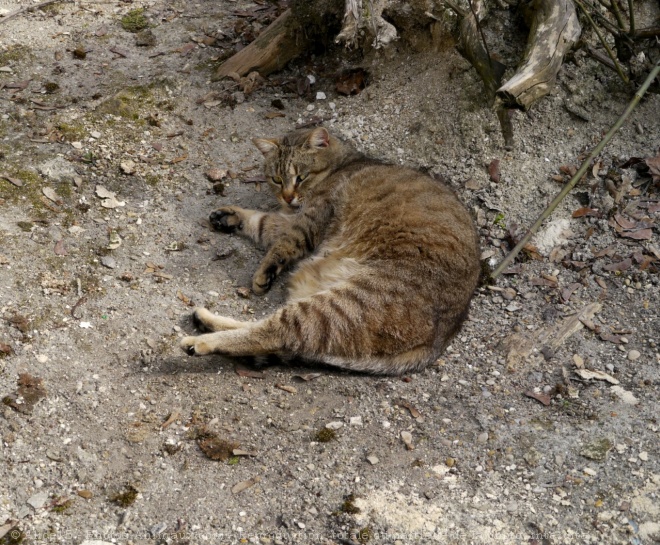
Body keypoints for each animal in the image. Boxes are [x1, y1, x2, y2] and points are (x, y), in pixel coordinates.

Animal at [180, 127, 480, 374]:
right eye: (276, 179)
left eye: (300, 177)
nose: (287, 197)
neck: (341, 166)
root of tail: (438, 342)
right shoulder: (292, 218)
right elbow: (263, 221)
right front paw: (230, 216)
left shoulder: (309, 222)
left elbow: (280, 244)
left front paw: (264, 270)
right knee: (272, 336)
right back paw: (204, 320)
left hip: (336, 306)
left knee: (272, 333)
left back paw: (200, 342)